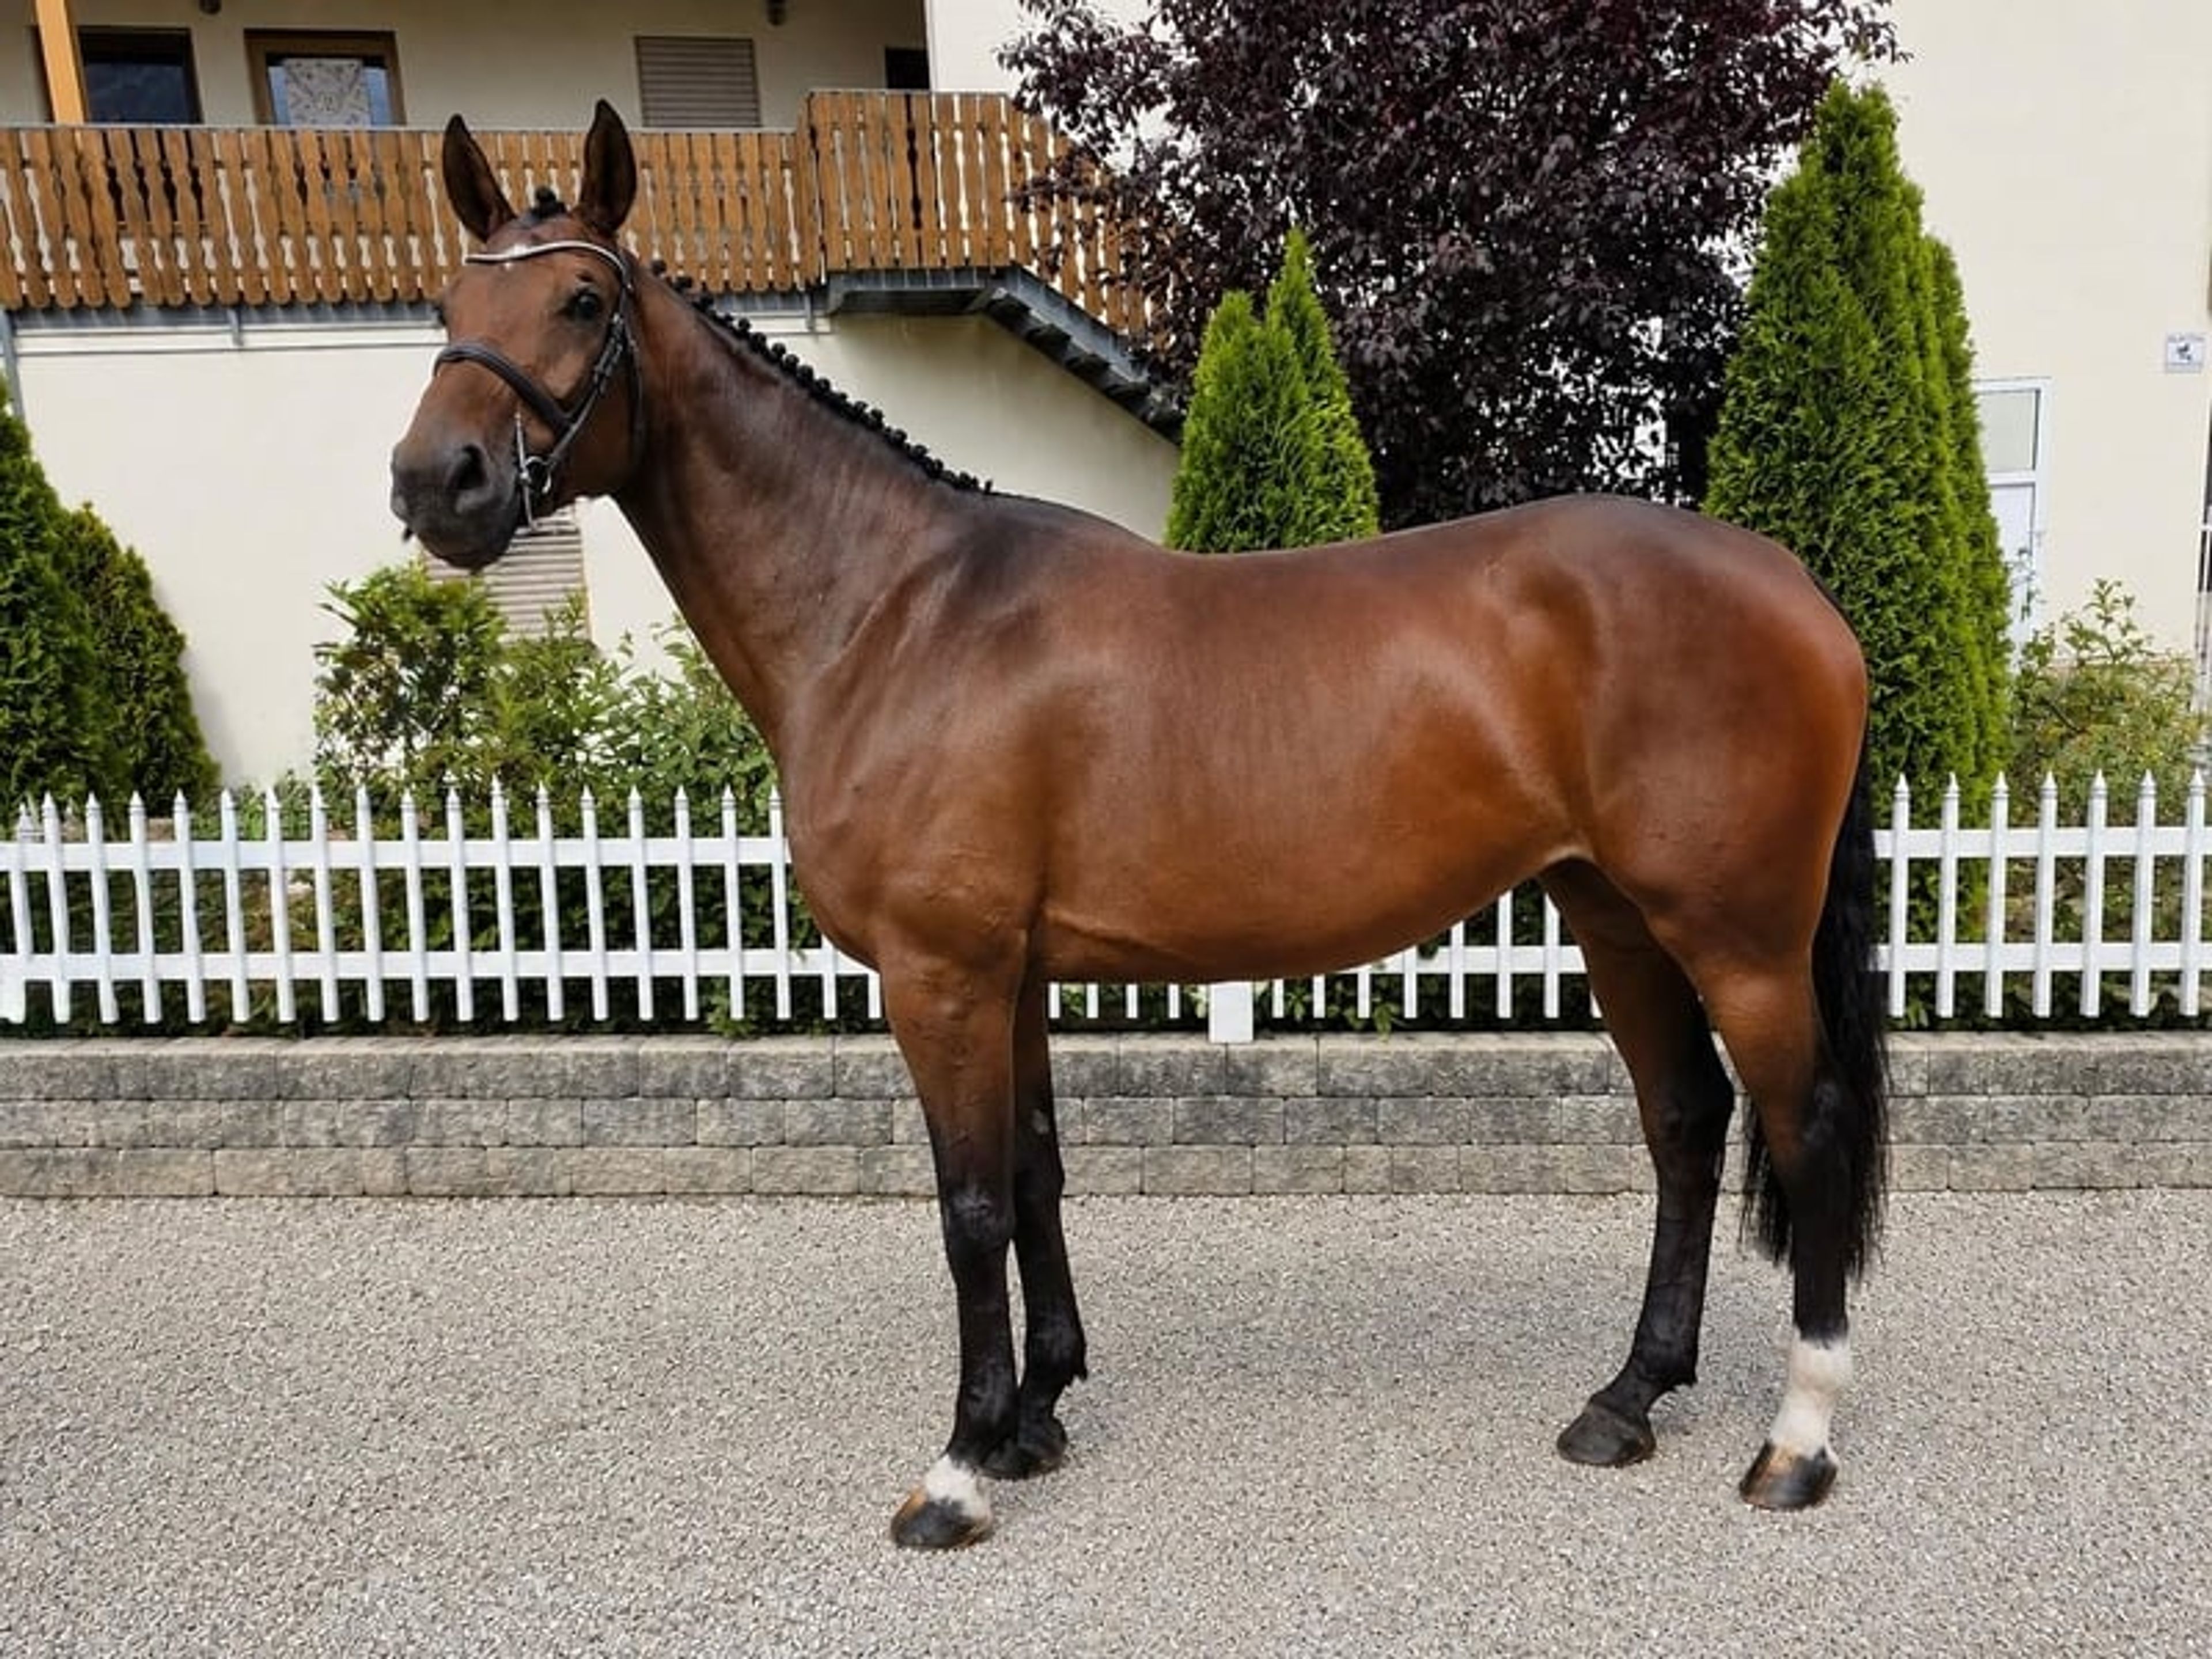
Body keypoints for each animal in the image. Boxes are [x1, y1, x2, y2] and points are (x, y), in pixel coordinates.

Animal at [391, 102, 1888, 1549]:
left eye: (583, 297)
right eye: (450, 296)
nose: (433, 481)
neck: (893, 614)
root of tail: (1793, 581)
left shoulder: (940, 975)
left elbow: (969, 1207)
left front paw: (958, 1468)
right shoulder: (1010, 975)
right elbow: (1036, 1173)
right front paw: (1036, 1412)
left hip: (1738, 938)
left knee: (1804, 1126)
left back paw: (1796, 1445)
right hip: (1613, 914)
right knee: (1686, 1121)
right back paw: (1627, 1398)